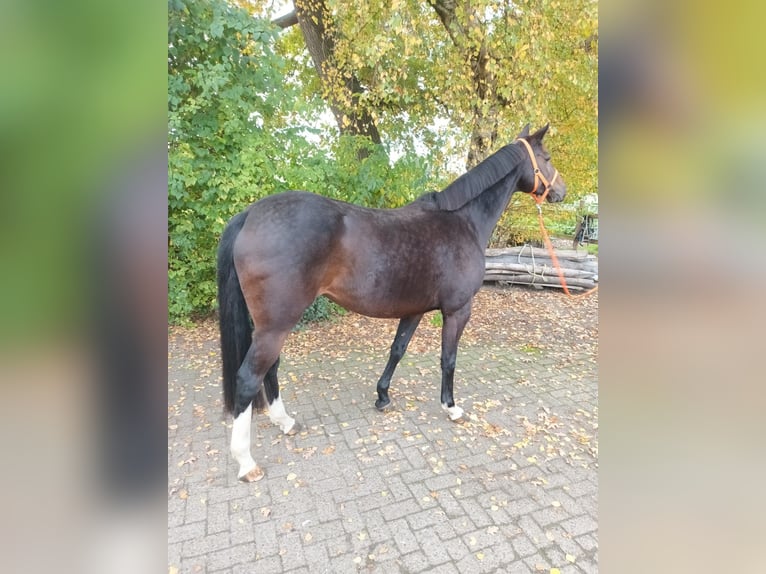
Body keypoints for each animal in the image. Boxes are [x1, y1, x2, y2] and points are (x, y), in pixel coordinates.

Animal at [217, 124, 566, 481]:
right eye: (547, 157)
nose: (561, 192)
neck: (463, 221)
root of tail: (250, 214)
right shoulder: (457, 311)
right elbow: (448, 359)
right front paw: (451, 407)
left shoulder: (414, 310)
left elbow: (397, 350)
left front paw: (383, 396)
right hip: (276, 326)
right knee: (249, 378)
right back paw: (247, 462)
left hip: (271, 325)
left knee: (270, 370)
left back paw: (284, 422)